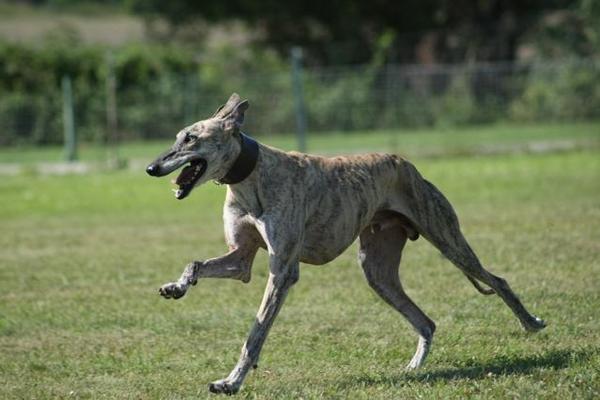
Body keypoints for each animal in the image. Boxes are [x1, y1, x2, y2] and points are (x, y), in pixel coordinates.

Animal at [145, 93, 544, 394]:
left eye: (191, 139)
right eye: (178, 137)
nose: (151, 168)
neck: (252, 177)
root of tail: (404, 163)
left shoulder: (283, 271)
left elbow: (255, 333)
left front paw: (231, 382)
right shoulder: (240, 259)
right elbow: (196, 263)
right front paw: (177, 286)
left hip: (448, 240)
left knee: (496, 279)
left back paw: (531, 322)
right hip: (377, 270)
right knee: (426, 322)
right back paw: (415, 366)